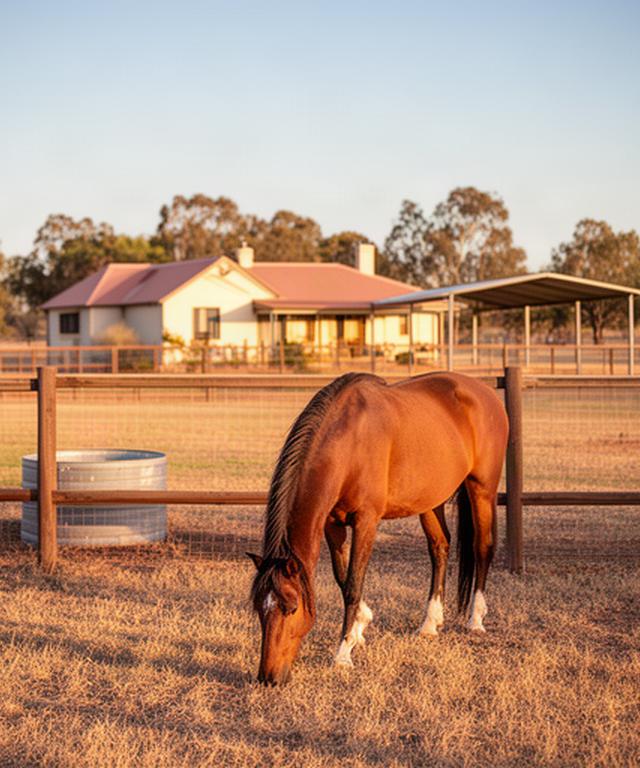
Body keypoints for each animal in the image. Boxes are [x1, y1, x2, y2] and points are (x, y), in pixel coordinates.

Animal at [248, 371, 508, 685]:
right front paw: (361, 626)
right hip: (430, 500)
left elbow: (353, 584)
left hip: (482, 488)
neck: (349, 440)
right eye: (259, 609)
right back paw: (430, 623)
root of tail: (484, 391)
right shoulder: (332, 522)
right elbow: (342, 578)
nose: (268, 678)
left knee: (482, 547)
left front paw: (343, 653)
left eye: (291, 607)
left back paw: (475, 618)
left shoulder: (366, 521)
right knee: (440, 548)